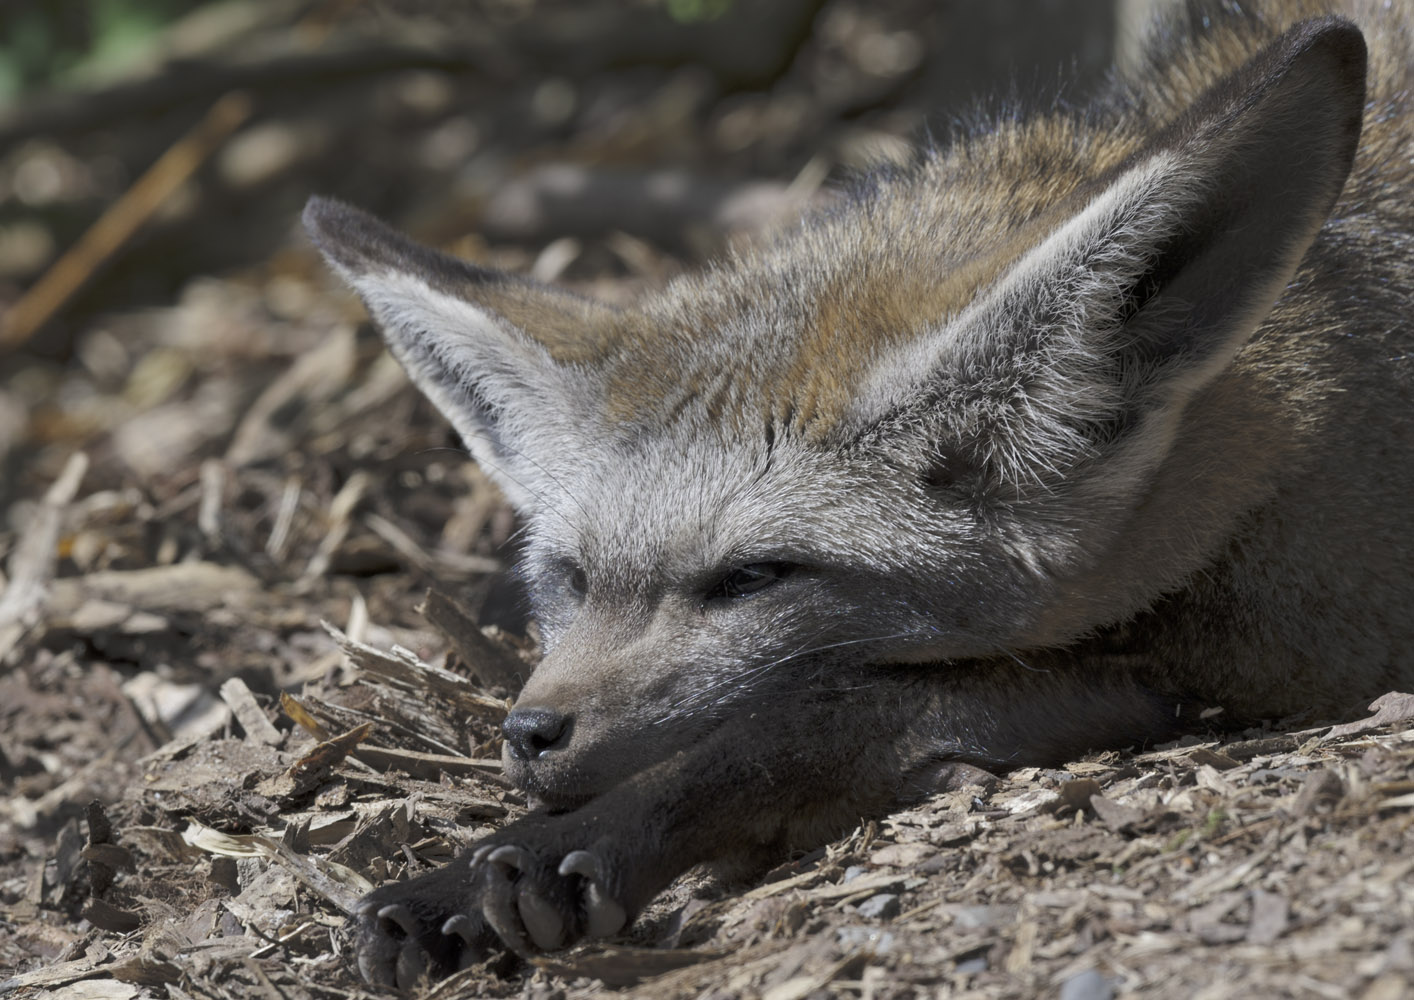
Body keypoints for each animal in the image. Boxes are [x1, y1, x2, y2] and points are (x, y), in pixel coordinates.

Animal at [304, 0, 1413, 986]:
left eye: (752, 577)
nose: (528, 733)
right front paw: (467, 870)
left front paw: (591, 842)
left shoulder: (1287, 645)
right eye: (573, 578)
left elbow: (809, 712)